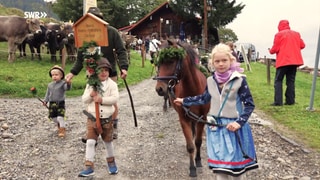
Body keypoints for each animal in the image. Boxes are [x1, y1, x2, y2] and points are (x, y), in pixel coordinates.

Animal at [153, 39, 209, 177]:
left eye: (171, 60)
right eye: (158, 62)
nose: (159, 88)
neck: (193, 91)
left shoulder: (202, 118)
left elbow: (198, 142)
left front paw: (198, 161)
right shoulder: (183, 119)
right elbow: (190, 146)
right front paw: (192, 168)